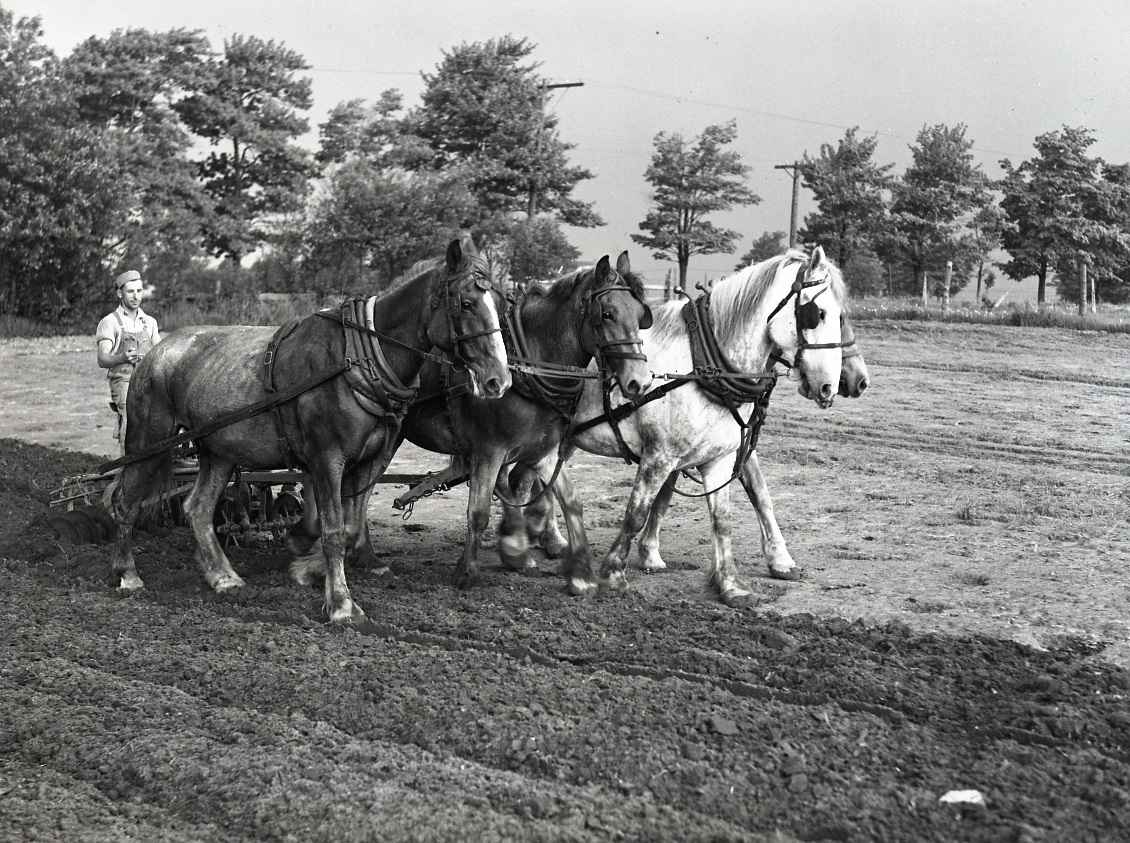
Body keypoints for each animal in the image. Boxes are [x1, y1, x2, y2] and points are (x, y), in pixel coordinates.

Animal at [109, 236, 508, 619]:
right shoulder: (327, 458)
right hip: (150, 438)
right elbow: (332, 531)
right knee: (126, 501)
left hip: (217, 451)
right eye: (467, 302)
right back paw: (127, 574)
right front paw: (341, 604)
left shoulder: (367, 461)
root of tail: (155, 351)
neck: (354, 359)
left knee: (198, 508)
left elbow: (349, 526)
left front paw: (308, 565)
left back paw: (222, 576)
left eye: (499, 303)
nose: (498, 380)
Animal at [293, 253, 655, 587]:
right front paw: (468, 571)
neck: (528, 365)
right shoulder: (489, 450)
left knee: (356, 492)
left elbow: (570, 501)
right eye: (607, 314)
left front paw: (578, 572)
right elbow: (479, 511)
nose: (639, 381)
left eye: (640, 316)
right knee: (355, 492)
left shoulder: (543, 450)